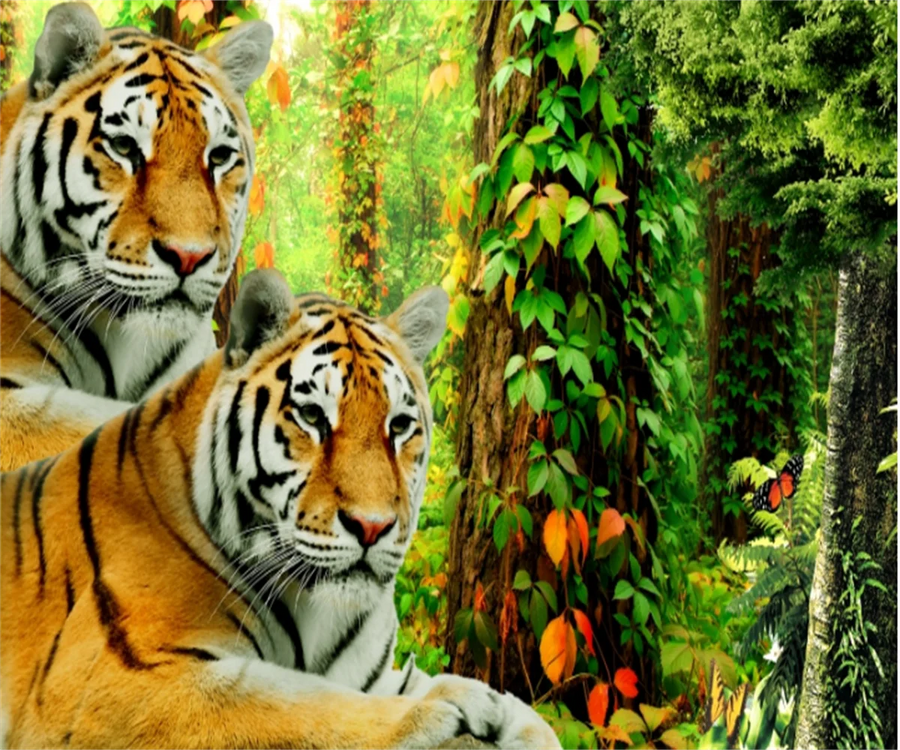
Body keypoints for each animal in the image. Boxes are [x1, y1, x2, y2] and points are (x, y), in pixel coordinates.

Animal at [0, 269, 561, 750]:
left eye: (399, 425)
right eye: (312, 416)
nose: (372, 527)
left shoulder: (381, 674)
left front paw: (505, 712)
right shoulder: (113, 681)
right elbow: (301, 701)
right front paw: (453, 703)